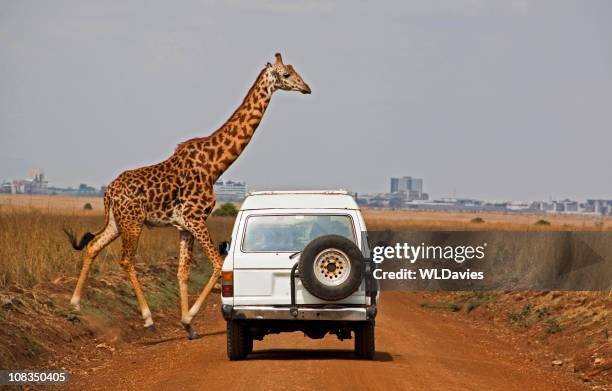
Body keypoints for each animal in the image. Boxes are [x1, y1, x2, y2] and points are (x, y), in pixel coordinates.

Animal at [64, 52, 310, 340]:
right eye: (286, 74)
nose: (307, 88)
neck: (215, 165)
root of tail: (109, 192)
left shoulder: (184, 226)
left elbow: (182, 272)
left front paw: (188, 324)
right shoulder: (196, 219)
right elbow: (217, 264)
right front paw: (189, 317)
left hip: (117, 222)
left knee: (93, 246)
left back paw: (75, 305)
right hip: (133, 222)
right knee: (126, 260)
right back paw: (148, 320)